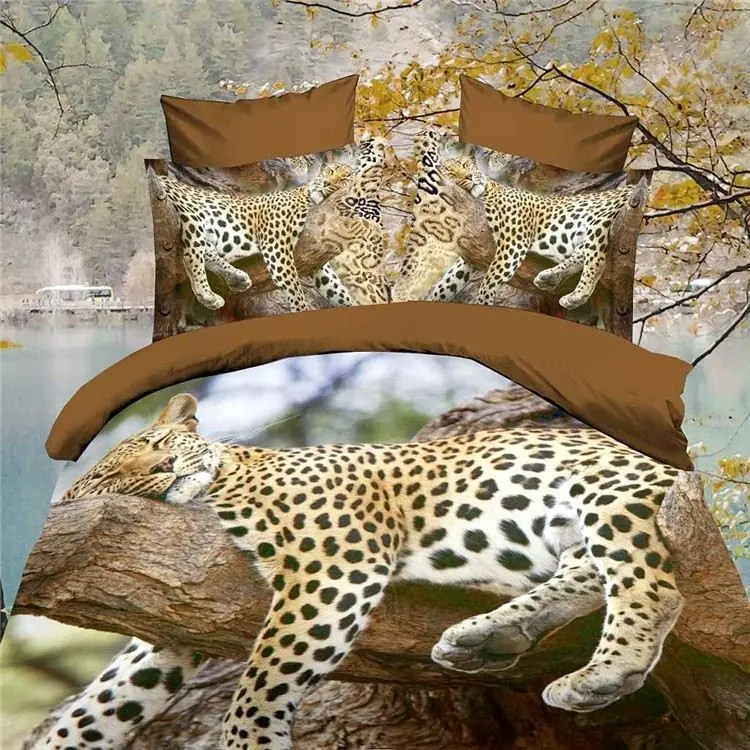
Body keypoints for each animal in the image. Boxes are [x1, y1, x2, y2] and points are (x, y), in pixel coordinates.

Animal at [37, 392, 685, 750]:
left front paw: (253, 742)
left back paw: (602, 673)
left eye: (160, 444)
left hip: (608, 489)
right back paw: (487, 637)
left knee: (651, 586)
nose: (168, 465)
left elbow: (260, 680)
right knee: (588, 570)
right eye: (113, 476)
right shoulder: (176, 616)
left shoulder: (336, 558)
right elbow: (102, 703)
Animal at [158, 161, 355, 313]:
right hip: (192, 212)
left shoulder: (316, 256)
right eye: (330, 172)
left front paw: (352, 305)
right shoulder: (276, 246)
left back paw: (236, 277)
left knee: (207, 251)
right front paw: (301, 311)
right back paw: (208, 295)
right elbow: (294, 288)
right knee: (191, 256)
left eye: (344, 179)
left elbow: (337, 289)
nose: (326, 183)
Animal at [429, 155, 646, 309]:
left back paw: (576, 295)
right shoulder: (473, 248)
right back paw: (550, 277)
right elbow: (446, 282)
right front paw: (430, 299)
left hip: (599, 218)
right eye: (451, 173)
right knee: (582, 254)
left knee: (596, 260)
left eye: (465, 165)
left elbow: (489, 281)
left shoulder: (513, 243)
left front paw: (481, 305)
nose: (469, 177)